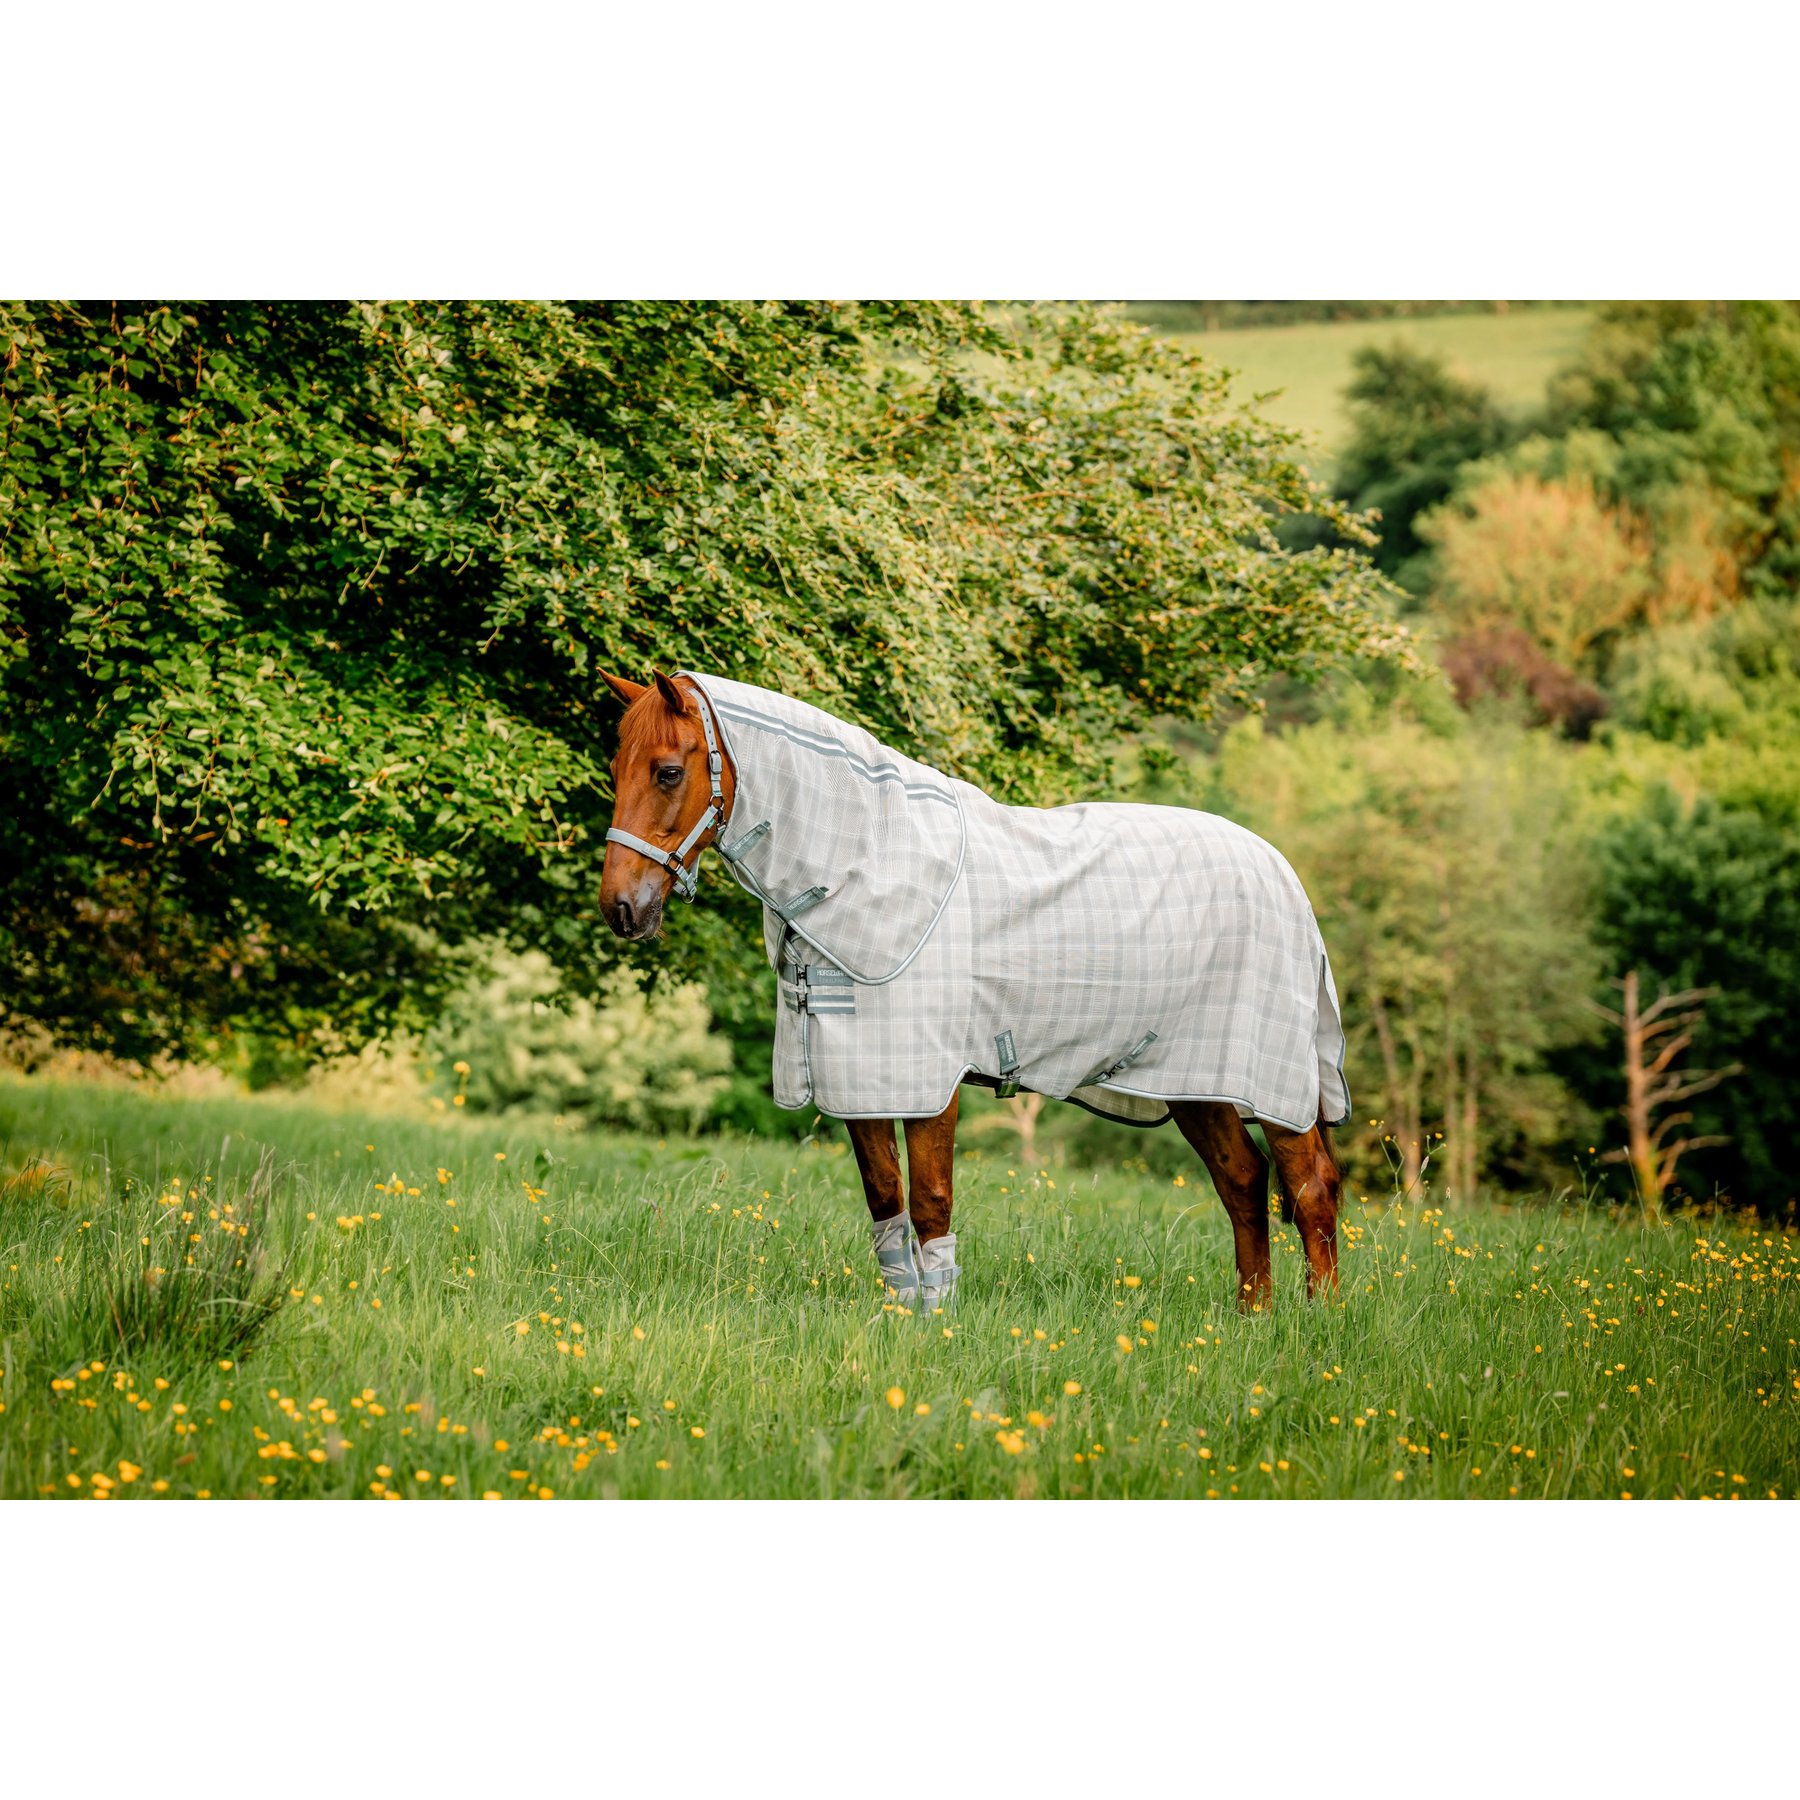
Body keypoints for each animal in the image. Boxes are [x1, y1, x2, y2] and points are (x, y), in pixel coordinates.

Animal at [598, 668, 1348, 1315]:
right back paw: (1253, 1315)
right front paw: (903, 1314)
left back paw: (1318, 1322)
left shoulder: (931, 1081)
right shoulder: (861, 1080)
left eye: (668, 772)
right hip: (1196, 1082)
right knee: (1243, 1182)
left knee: (1309, 1186)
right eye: (614, 771)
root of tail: (1283, 872)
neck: (872, 862)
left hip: (1272, 1080)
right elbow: (886, 1201)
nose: (621, 909)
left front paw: (938, 1321)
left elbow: (931, 1200)